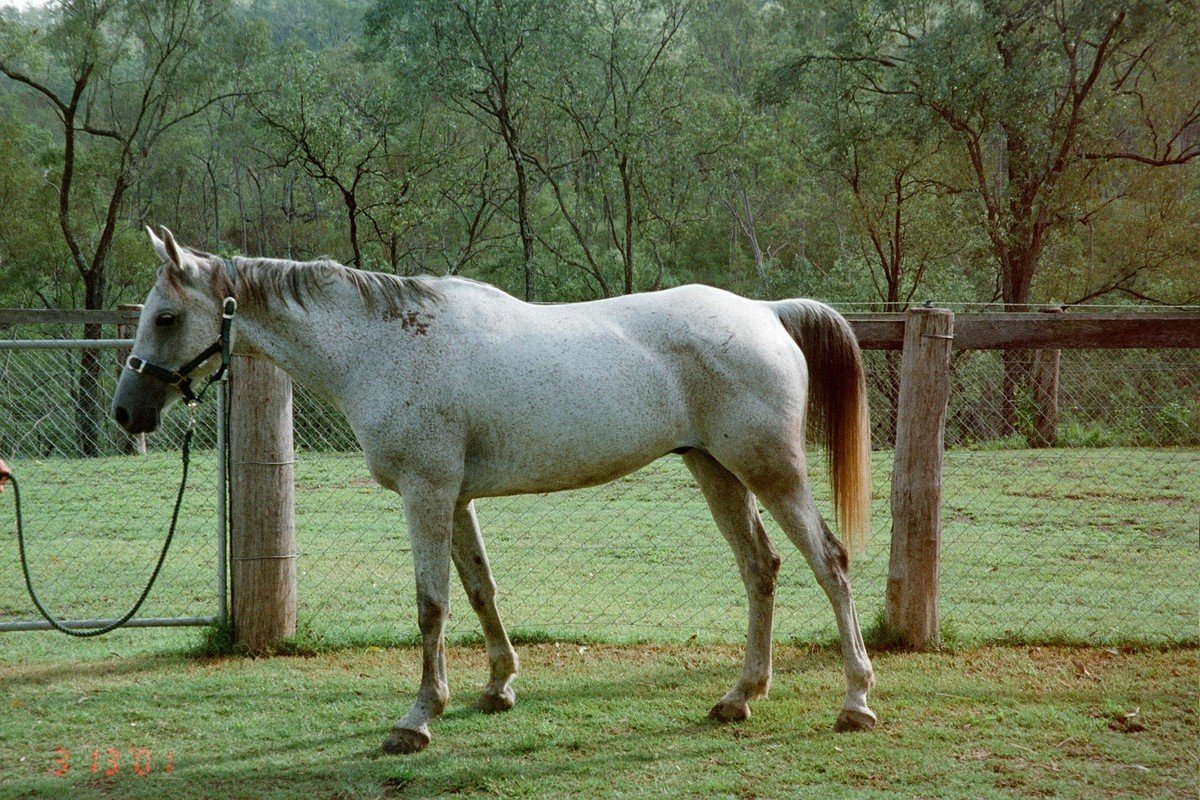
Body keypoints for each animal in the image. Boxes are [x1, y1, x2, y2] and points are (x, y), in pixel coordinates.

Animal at [113, 227, 878, 754]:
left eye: (167, 318)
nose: (126, 411)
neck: (383, 344)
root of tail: (766, 312)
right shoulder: (454, 498)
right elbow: (480, 590)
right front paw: (497, 686)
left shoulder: (424, 493)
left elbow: (431, 606)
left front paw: (417, 719)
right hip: (716, 471)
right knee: (760, 568)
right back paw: (740, 696)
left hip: (771, 471)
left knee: (830, 565)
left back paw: (856, 701)